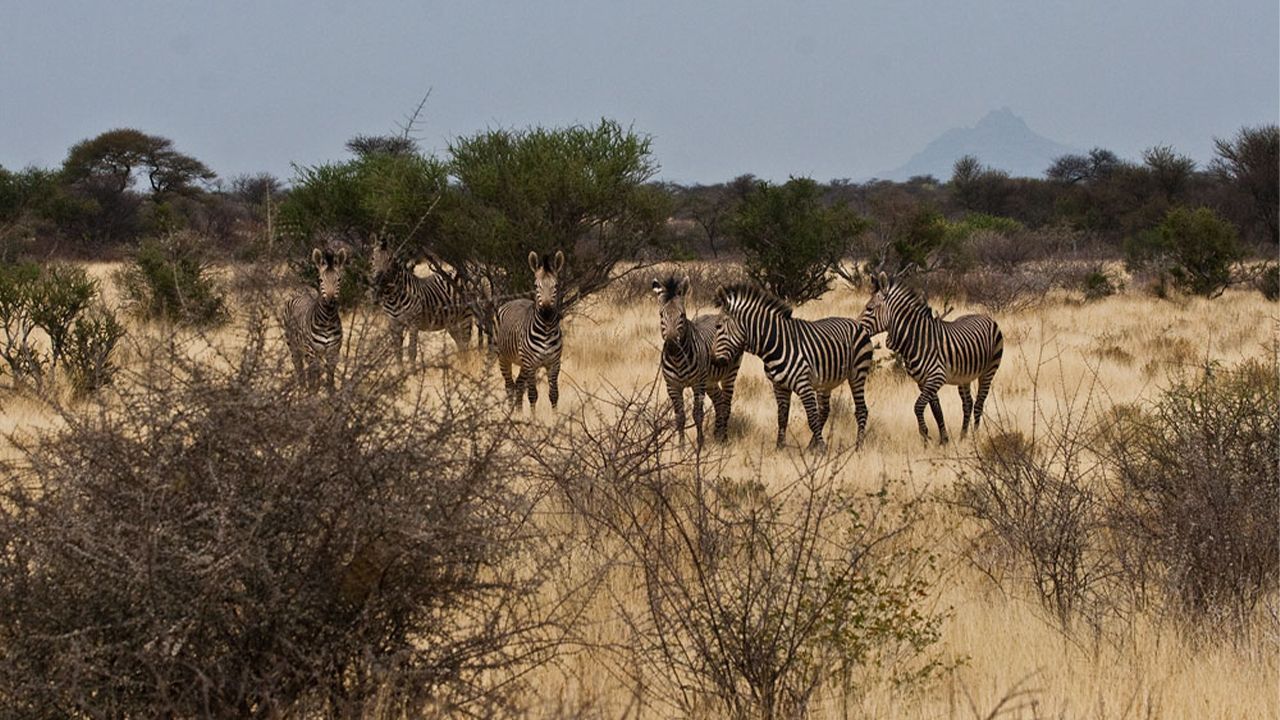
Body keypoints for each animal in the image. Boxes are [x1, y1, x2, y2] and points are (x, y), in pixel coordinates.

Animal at [282, 248, 348, 392]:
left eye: (339, 279)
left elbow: (330, 379)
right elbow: (314, 377)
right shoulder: (312, 351)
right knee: (299, 368)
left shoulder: (333, 351)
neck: (327, 320)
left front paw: (331, 395)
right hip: (294, 346)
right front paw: (313, 394)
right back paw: (302, 391)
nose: (330, 302)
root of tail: (301, 289)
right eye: (321, 280)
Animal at [494, 251, 565, 409]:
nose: (546, 313)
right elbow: (533, 395)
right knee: (509, 386)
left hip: (522, 363)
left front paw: (556, 415)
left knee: (519, 385)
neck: (546, 329)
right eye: (536, 285)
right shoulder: (531, 364)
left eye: (556, 285)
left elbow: (554, 395)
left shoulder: (554, 363)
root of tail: (516, 299)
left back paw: (519, 412)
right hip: (504, 357)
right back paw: (512, 413)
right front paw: (533, 416)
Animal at [655, 274, 747, 443]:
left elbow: (698, 415)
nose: (672, 345)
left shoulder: (698, 384)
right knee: (718, 401)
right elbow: (680, 417)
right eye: (661, 315)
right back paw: (717, 435)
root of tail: (715, 315)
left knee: (726, 404)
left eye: (682, 315)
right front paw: (681, 446)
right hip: (710, 381)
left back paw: (724, 438)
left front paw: (700, 443)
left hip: (729, 374)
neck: (678, 359)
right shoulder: (672, 386)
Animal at [716, 281, 875, 445]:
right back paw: (811, 446)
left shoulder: (804, 385)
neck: (776, 344)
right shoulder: (779, 386)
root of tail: (856, 324)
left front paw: (822, 448)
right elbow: (782, 417)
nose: (717, 361)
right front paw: (780, 446)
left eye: (718, 327)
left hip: (857, 373)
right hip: (826, 382)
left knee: (861, 410)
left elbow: (812, 419)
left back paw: (858, 445)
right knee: (825, 411)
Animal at [860, 270, 998, 443]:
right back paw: (963, 437)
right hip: (964, 377)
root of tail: (985, 316)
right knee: (968, 403)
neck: (917, 339)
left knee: (979, 403)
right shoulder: (922, 381)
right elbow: (936, 410)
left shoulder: (936, 377)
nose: (857, 328)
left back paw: (975, 437)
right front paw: (943, 440)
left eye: (869, 309)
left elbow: (918, 406)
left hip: (989, 371)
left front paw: (925, 436)